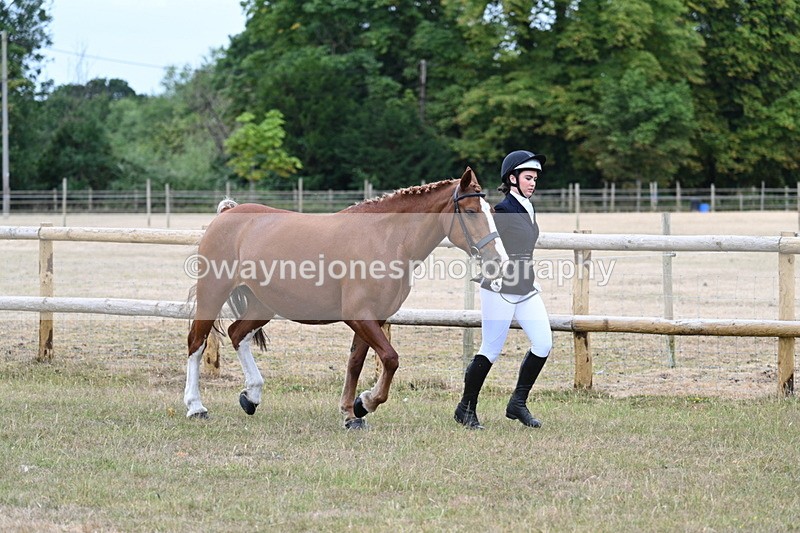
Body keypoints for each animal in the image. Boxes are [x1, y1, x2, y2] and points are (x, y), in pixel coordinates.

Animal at [183, 167, 508, 428]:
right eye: (471, 211)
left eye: (492, 211)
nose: (499, 261)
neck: (386, 239)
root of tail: (227, 213)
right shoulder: (360, 316)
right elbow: (390, 359)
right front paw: (366, 402)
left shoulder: (373, 318)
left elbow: (355, 363)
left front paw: (352, 413)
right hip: (213, 294)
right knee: (197, 343)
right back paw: (196, 407)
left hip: (262, 305)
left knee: (238, 334)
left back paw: (252, 395)